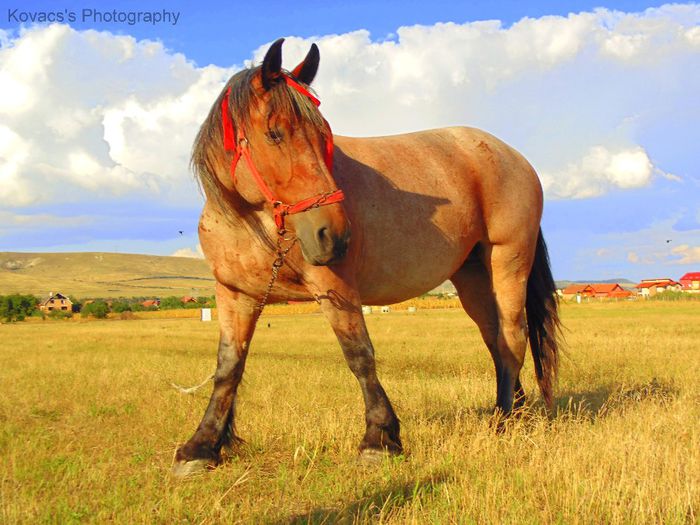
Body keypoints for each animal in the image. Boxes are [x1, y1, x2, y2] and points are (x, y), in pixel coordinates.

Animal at [172, 39, 560, 472]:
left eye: (323, 134)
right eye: (274, 134)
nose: (334, 235)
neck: (251, 221)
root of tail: (513, 156)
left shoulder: (335, 287)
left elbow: (359, 354)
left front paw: (379, 438)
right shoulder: (235, 295)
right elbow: (228, 366)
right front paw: (202, 444)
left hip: (508, 262)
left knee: (512, 336)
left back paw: (504, 421)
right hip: (472, 274)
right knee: (496, 339)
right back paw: (516, 410)